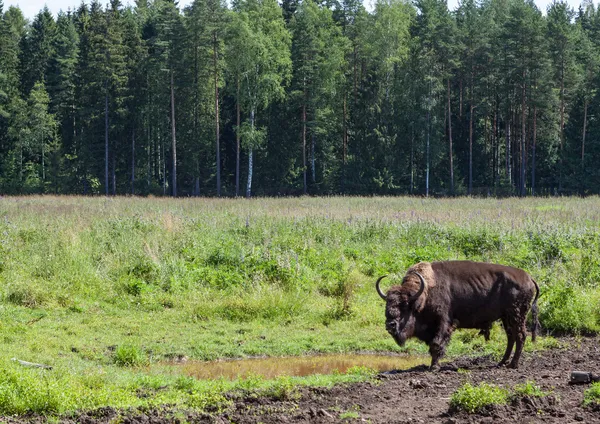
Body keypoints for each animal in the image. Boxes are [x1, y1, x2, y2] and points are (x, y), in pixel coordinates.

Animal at [376, 260, 540, 370]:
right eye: (387, 305)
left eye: (404, 306)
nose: (390, 325)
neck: (424, 293)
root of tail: (529, 278)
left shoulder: (444, 323)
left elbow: (436, 344)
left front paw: (434, 367)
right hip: (506, 317)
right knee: (511, 337)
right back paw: (501, 362)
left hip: (516, 316)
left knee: (520, 336)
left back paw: (513, 365)